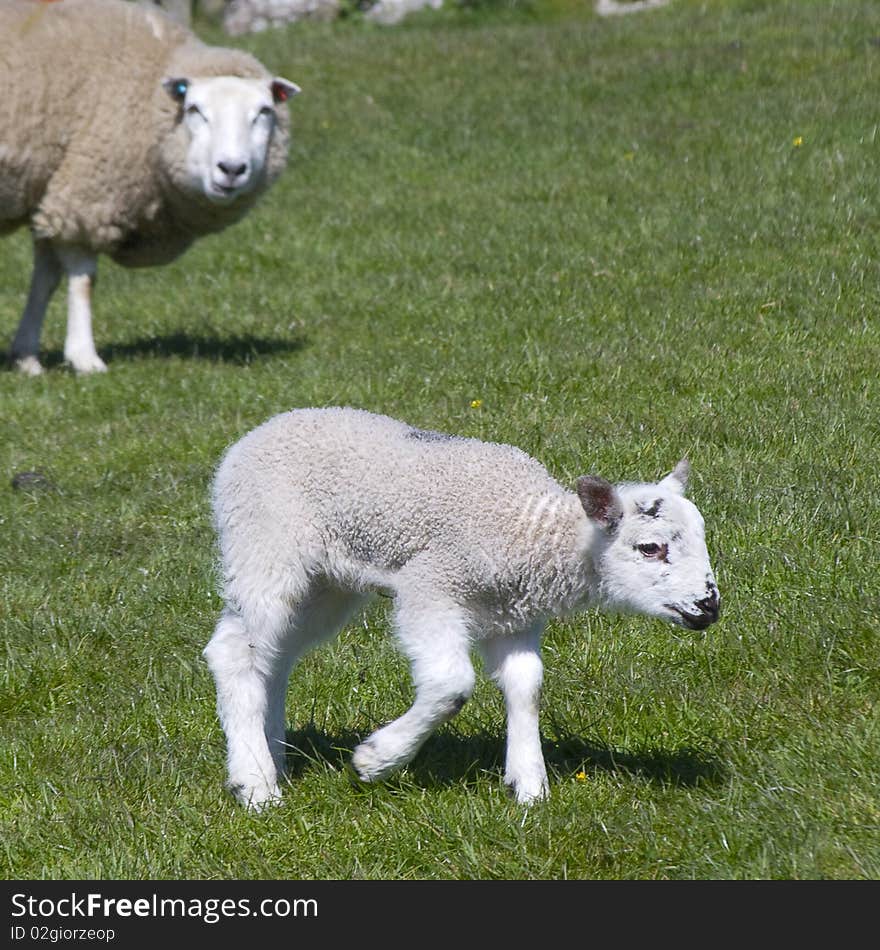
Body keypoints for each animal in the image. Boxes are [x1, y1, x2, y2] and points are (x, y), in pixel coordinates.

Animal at [0, 0, 300, 378]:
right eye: (194, 110)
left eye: (264, 112)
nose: (232, 169)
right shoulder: (86, 196)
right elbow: (84, 280)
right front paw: (85, 358)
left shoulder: (53, 190)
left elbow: (46, 279)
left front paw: (26, 357)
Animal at [208, 408, 720, 812]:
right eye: (650, 548)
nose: (709, 607)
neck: (534, 535)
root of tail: (256, 434)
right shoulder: (432, 585)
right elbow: (452, 686)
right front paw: (376, 760)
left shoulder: (515, 615)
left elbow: (527, 685)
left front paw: (530, 786)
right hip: (264, 543)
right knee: (234, 651)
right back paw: (255, 785)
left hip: (326, 583)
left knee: (273, 656)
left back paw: (272, 761)